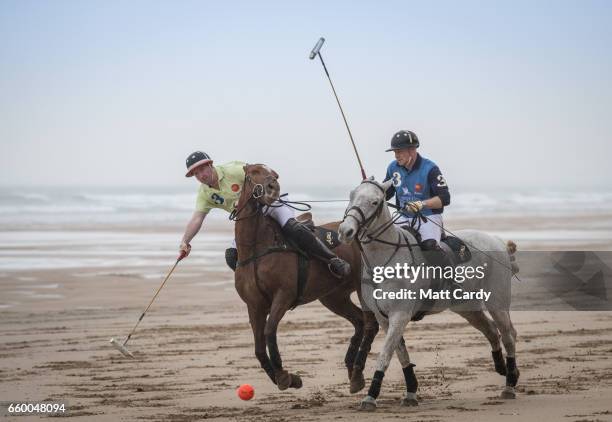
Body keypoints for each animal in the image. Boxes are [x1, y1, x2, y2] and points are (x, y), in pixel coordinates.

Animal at [233, 164, 378, 392]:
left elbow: (269, 331)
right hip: (333, 297)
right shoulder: (254, 305)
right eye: (253, 172)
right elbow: (258, 348)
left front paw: (284, 376)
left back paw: (356, 372)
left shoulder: (283, 295)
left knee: (371, 324)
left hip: (361, 287)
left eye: (274, 174)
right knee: (359, 321)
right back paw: (352, 370)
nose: (273, 188)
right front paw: (286, 378)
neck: (257, 248)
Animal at [338, 179, 520, 412]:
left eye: (375, 201)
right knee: (491, 330)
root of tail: (497, 240)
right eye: (351, 195)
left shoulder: (400, 315)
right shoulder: (384, 318)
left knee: (508, 334)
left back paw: (510, 384)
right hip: (467, 307)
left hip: (496, 300)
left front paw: (370, 397)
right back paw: (503, 369)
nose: (345, 231)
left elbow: (385, 355)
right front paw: (411, 392)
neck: (386, 260)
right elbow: (400, 353)